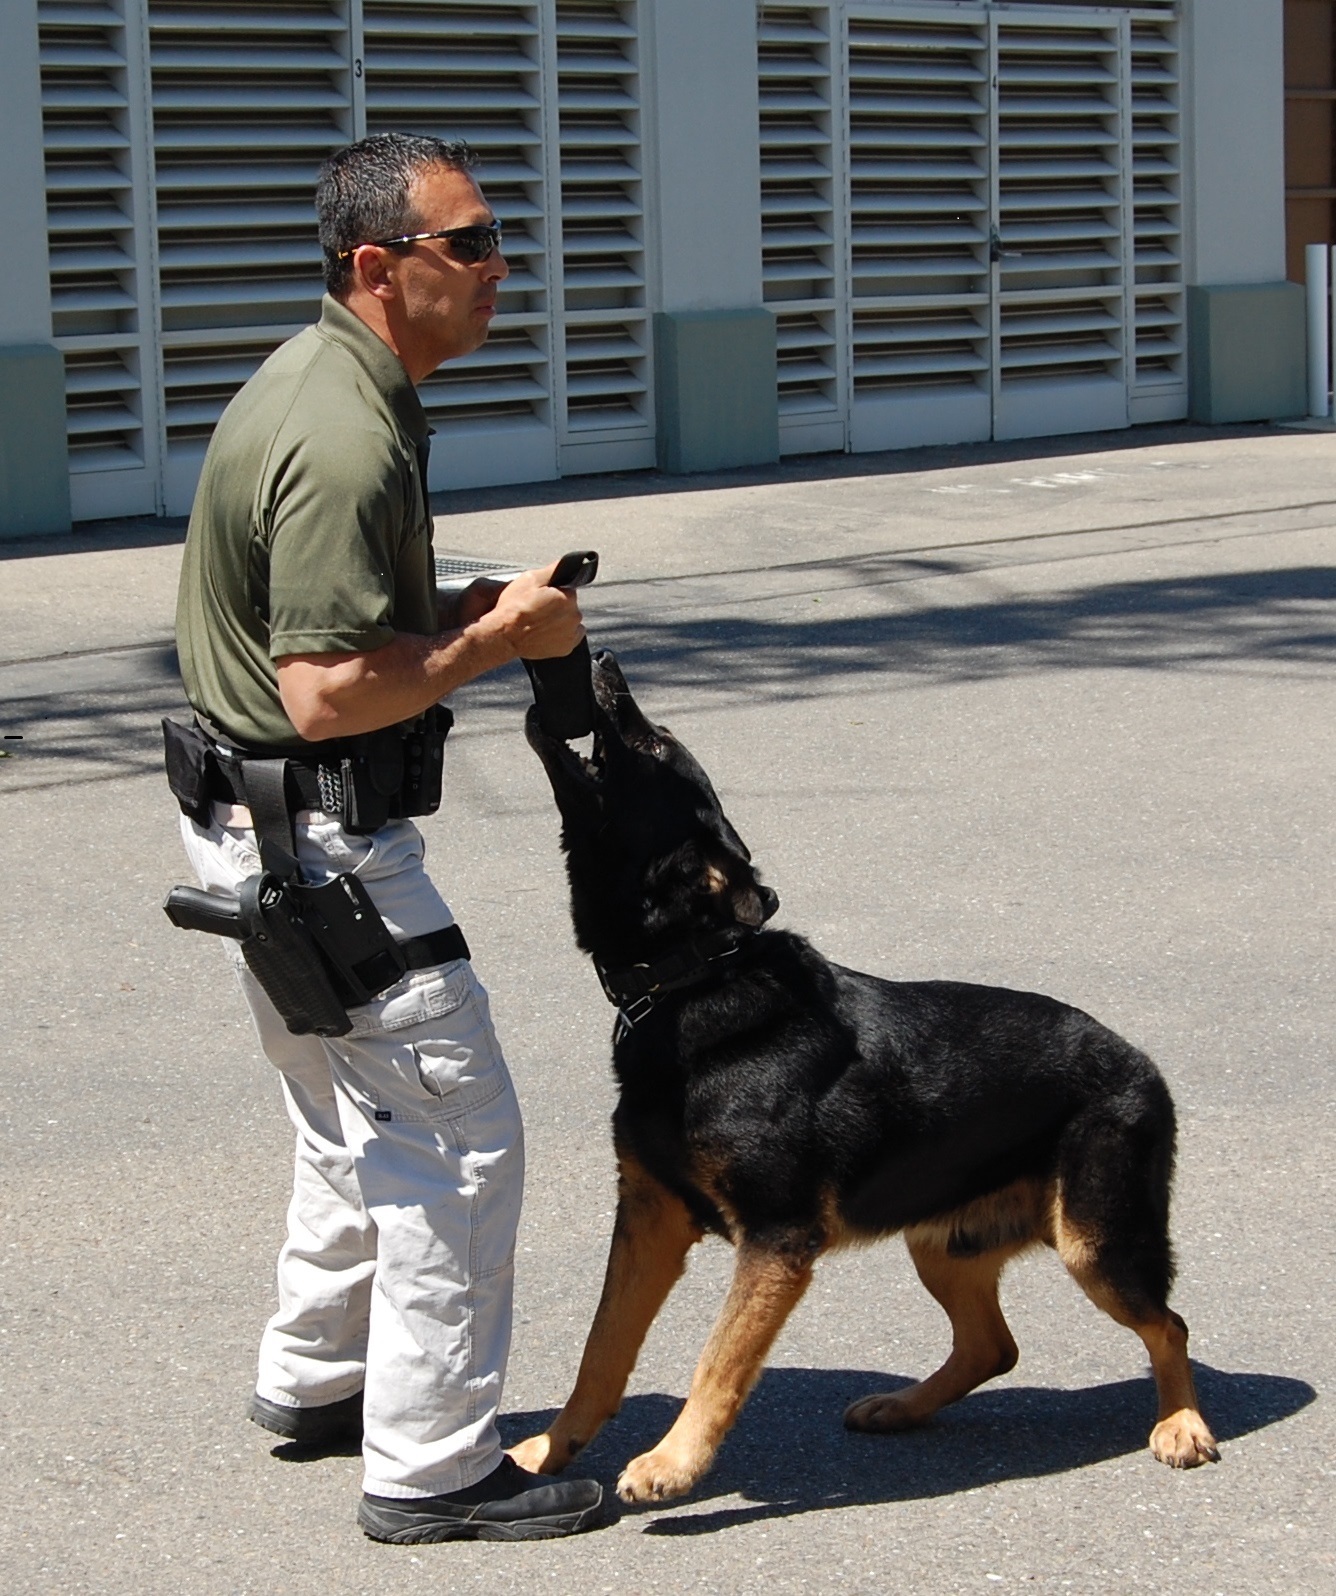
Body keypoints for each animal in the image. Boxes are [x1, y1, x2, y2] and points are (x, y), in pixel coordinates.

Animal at [513, 654, 1219, 1500]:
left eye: (652, 745)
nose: (603, 660)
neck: (691, 975)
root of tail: (1141, 1061)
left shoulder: (776, 1239)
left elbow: (717, 1362)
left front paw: (673, 1462)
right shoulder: (650, 1220)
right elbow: (601, 1352)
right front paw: (547, 1452)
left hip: (1096, 1243)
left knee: (1167, 1325)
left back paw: (1183, 1424)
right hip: (944, 1243)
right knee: (993, 1346)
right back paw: (904, 1406)